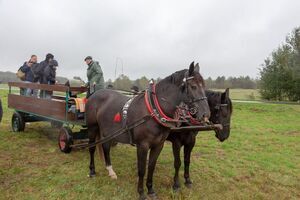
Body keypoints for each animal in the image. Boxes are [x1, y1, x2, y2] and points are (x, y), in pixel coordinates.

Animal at [85, 61, 210, 199]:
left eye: (204, 86)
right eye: (193, 86)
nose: (206, 114)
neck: (153, 110)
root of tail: (95, 94)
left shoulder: (159, 145)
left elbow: (151, 167)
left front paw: (150, 189)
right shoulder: (143, 145)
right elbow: (142, 169)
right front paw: (141, 192)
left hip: (108, 132)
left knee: (106, 148)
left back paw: (110, 171)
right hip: (93, 128)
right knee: (92, 148)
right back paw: (92, 171)